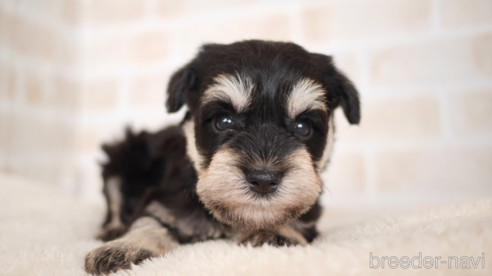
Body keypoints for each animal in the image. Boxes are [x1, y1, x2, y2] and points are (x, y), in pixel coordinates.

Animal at [83, 40, 362, 274]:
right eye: (223, 121)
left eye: (304, 127)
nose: (263, 179)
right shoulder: (161, 204)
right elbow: (148, 223)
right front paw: (125, 248)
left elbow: (289, 217)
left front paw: (276, 233)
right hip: (122, 155)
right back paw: (112, 230)